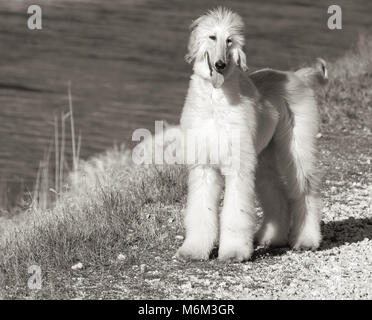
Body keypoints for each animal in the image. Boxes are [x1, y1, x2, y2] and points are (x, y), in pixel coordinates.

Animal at [176, 7, 326, 262]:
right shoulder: (204, 165)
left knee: (305, 189)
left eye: (230, 40)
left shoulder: (238, 165)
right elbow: (201, 210)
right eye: (212, 37)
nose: (220, 65)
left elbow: (236, 211)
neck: (216, 100)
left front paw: (234, 251)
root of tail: (297, 76)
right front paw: (194, 249)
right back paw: (272, 238)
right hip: (264, 153)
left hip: (297, 145)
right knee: (275, 191)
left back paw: (306, 239)